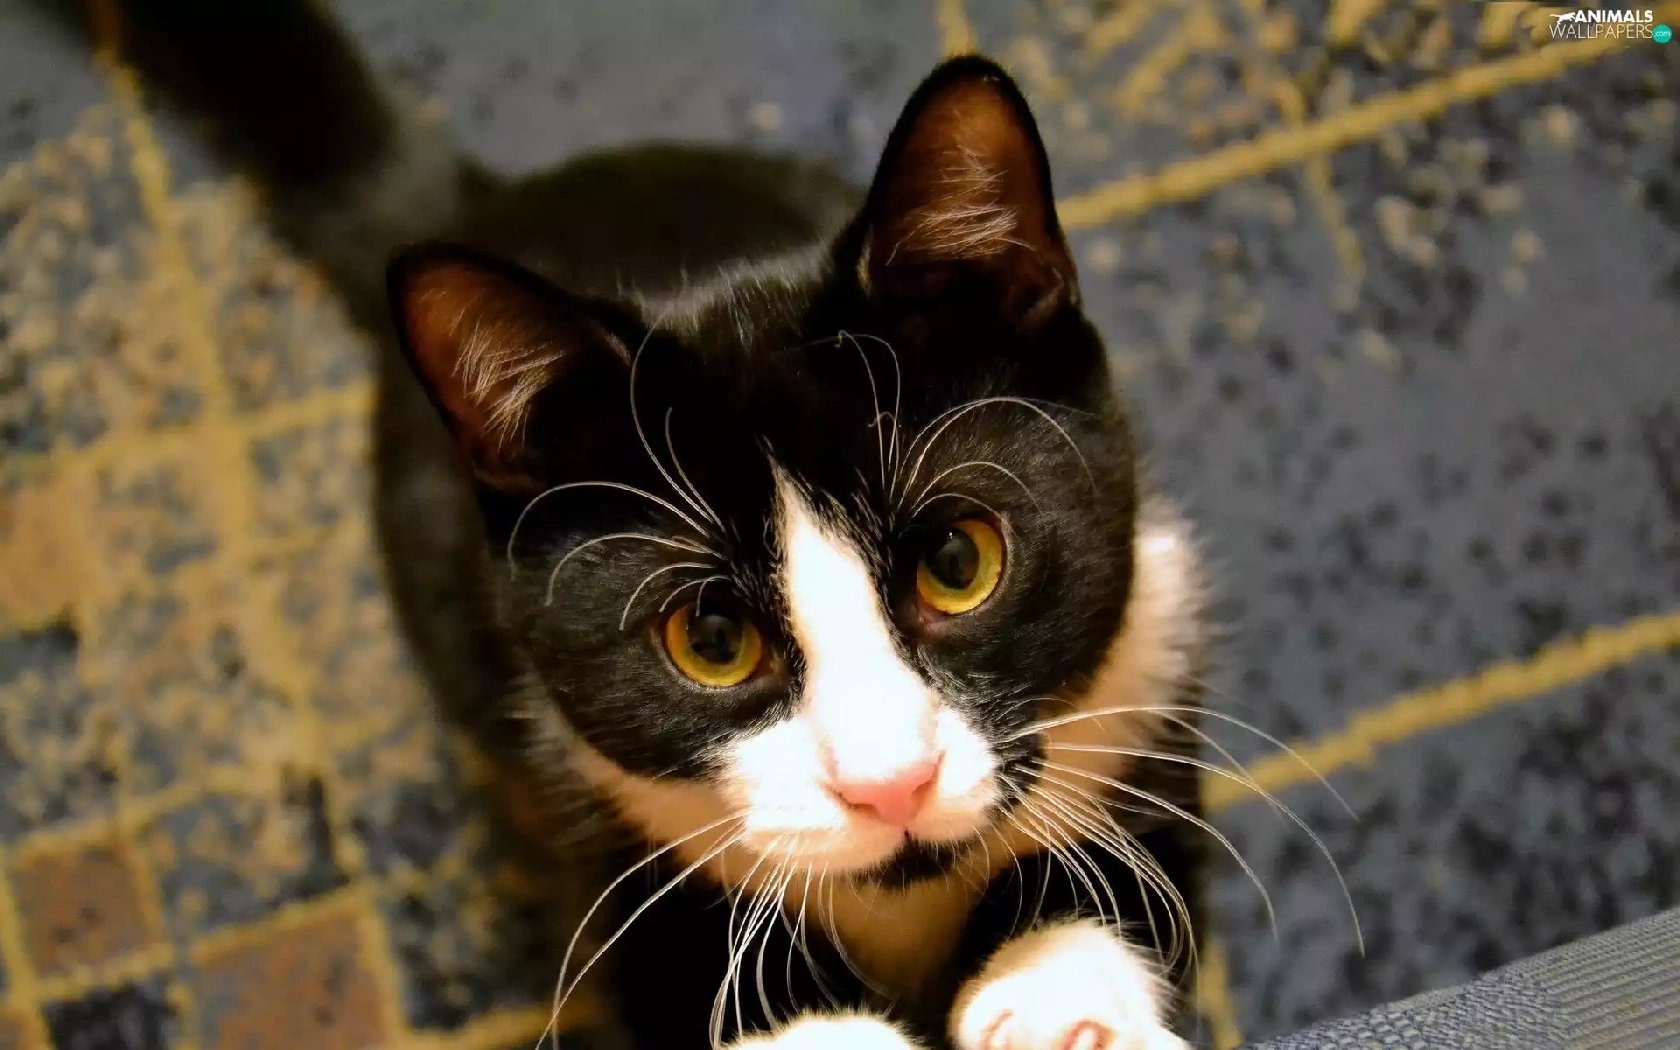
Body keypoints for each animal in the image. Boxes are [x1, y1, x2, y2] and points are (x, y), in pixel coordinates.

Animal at [57, 4, 1214, 1049]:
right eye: (712, 640)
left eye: (958, 561)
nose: (889, 783)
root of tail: (491, 195)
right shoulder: (603, 824)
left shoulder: (1153, 658)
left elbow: (1141, 872)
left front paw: (1060, 995)